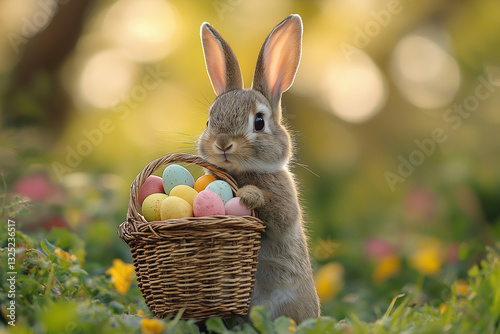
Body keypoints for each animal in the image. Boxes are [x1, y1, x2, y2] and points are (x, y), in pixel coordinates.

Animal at [196, 14, 318, 322]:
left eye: (259, 122)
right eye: (208, 122)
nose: (223, 144)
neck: (243, 171)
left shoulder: (286, 203)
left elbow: (281, 214)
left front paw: (249, 195)